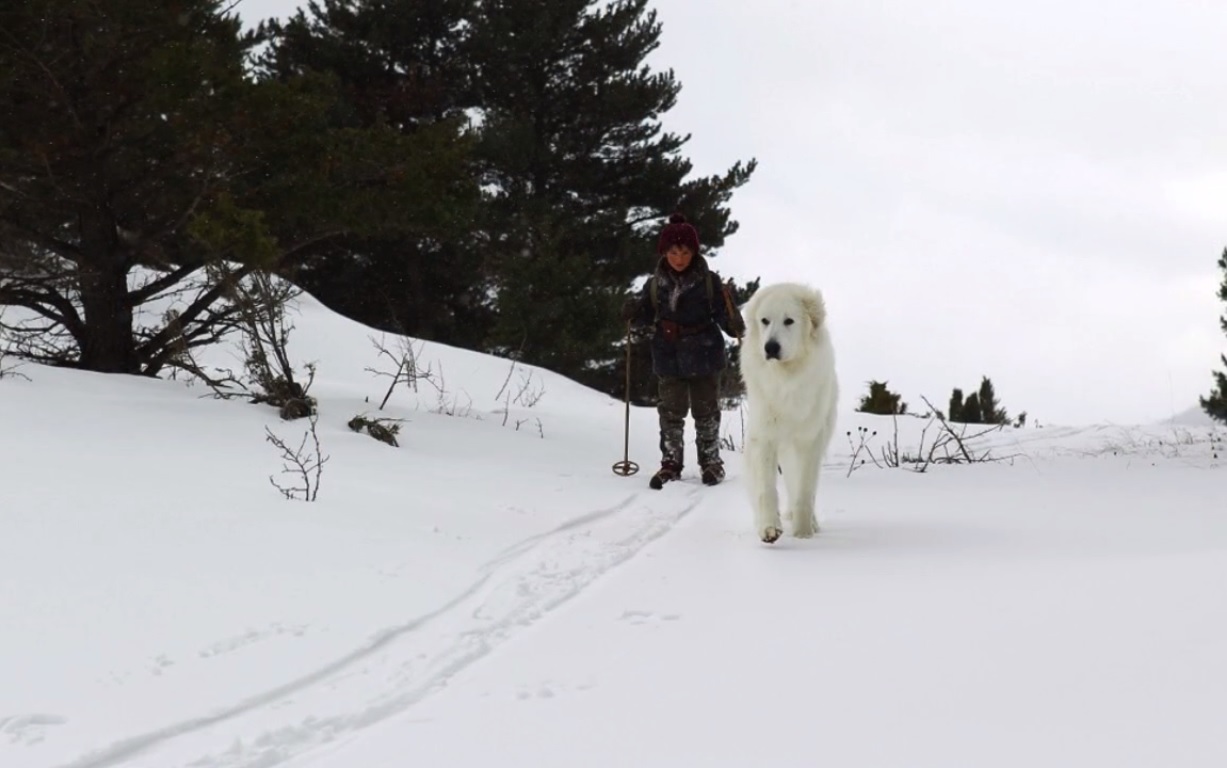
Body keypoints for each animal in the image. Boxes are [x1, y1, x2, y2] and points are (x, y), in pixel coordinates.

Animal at [731, 282, 839, 544]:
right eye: (765, 320)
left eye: (789, 321)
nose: (770, 347)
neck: (786, 379)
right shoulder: (764, 436)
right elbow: (765, 489)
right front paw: (769, 528)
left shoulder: (809, 440)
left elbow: (804, 490)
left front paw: (803, 534)